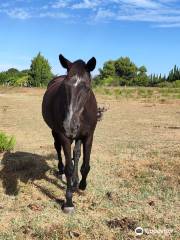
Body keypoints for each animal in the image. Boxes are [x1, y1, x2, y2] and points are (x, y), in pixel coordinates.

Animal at [41, 54, 97, 214]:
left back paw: (76, 181)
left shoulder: (88, 135)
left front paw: (81, 185)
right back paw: (61, 170)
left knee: (77, 154)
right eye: (64, 86)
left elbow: (85, 164)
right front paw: (69, 202)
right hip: (55, 131)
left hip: (77, 136)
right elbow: (69, 168)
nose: (70, 125)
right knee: (57, 148)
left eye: (87, 87)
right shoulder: (64, 136)